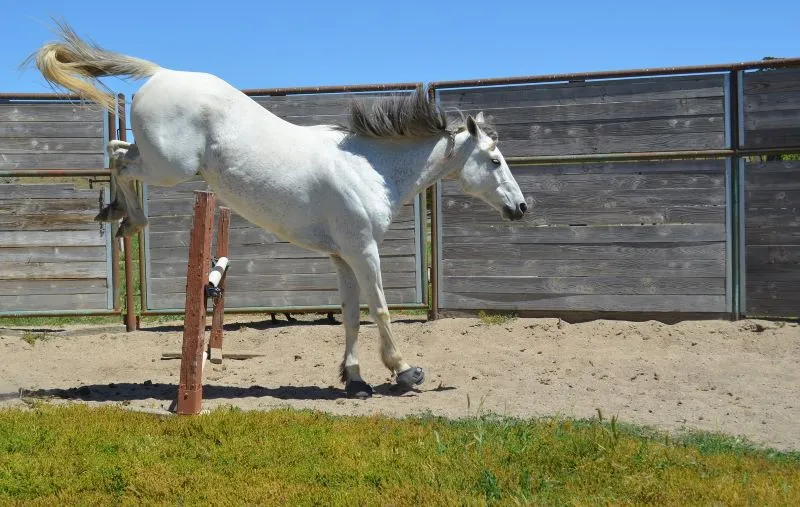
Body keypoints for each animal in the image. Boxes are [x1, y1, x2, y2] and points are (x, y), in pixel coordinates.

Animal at [28, 22, 528, 396]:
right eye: (495, 160)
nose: (521, 207)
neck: (369, 167)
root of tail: (163, 72)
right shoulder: (364, 250)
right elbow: (381, 309)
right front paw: (405, 372)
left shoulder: (343, 256)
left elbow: (351, 315)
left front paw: (354, 379)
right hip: (168, 166)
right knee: (118, 158)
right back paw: (128, 218)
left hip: (161, 161)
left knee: (117, 152)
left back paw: (119, 215)